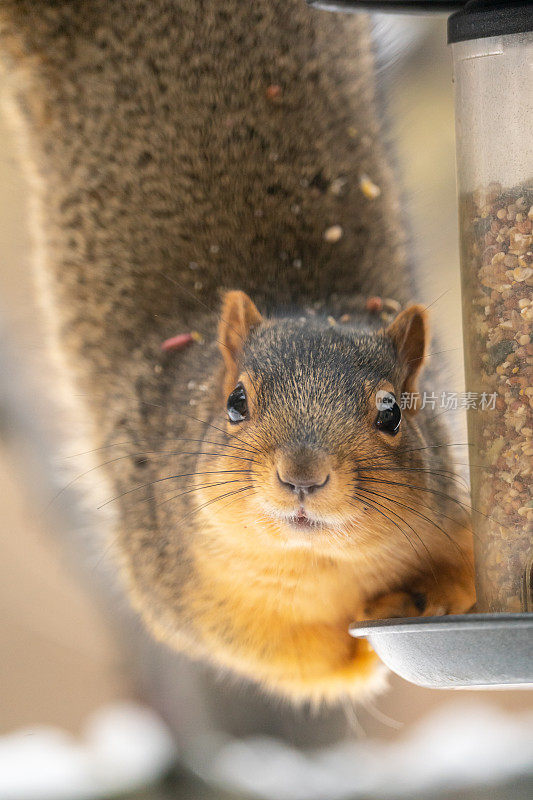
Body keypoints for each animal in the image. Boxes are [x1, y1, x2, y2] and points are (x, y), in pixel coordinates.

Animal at [0, 0, 474, 704]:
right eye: (236, 403)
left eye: (393, 413)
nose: (301, 476)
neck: (316, 569)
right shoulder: (175, 584)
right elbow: (290, 657)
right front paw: (360, 644)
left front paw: (426, 595)